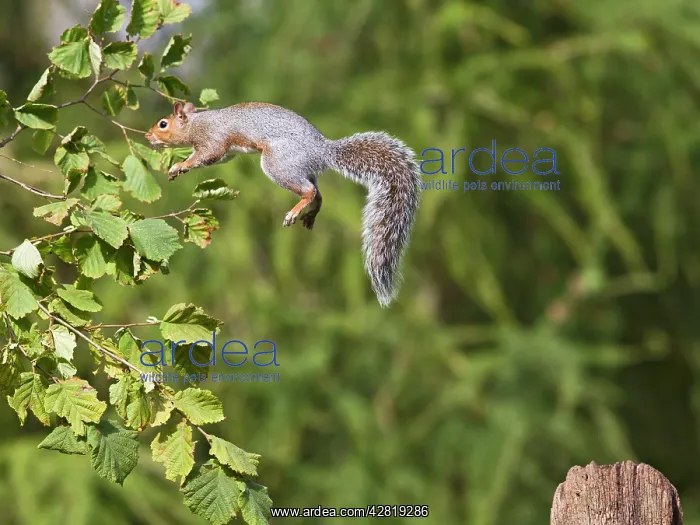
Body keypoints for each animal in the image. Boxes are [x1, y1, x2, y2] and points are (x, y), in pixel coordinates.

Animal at [145, 101, 421, 307]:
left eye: (163, 124)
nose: (147, 136)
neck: (196, 123)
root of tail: (322, 151)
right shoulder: (226, 153)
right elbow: (215, 158)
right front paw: (178, 168)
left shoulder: (213, 139)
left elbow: (205, 155)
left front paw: (180, 165)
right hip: (300, 170)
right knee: (319, 195)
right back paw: (310, 216)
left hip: (278, 163)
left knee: (309, 191)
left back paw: (294, 213)